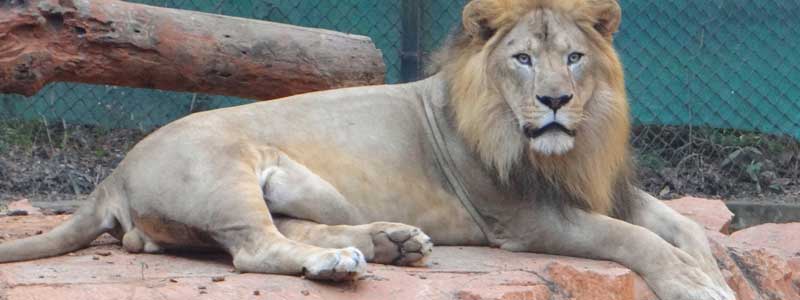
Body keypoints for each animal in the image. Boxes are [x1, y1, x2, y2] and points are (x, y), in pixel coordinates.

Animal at [0, 1, 736, 298]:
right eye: (523, 60)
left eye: (574, 59)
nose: (555, 100)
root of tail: (111, 177)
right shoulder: (525, 218)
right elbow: (632, 239)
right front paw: (695, 284)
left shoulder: (599, 187)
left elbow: (677, 223)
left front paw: (715, 269)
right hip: (223, 172)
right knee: (256, 249)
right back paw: (345, 262)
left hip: (296, 188)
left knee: (287, 229)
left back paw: (391, 243)